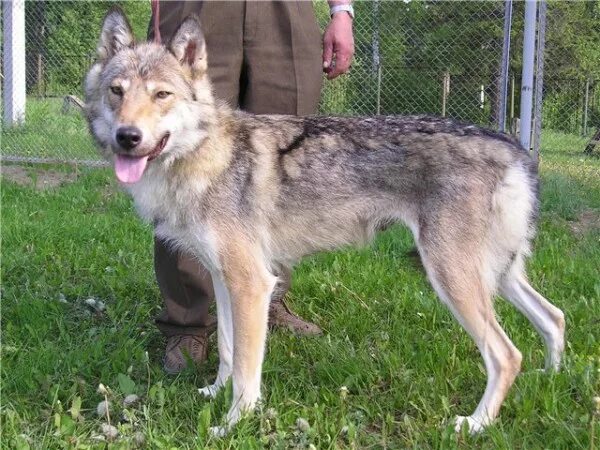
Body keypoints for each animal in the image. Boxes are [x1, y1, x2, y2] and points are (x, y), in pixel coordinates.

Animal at [85, 7, 568, 436]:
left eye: (161, 95)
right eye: (117, 91)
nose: (127, 137)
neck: (204, 156)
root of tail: (513, 147)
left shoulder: (251, 283)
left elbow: (246, 369)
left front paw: (233, 423)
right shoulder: (224, 279)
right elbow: (225, 349)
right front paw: (213, 393)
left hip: (452, 277)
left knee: (508, 355)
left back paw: (476, 424)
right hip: (497, 275)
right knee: (555, 317)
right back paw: (551, 383)